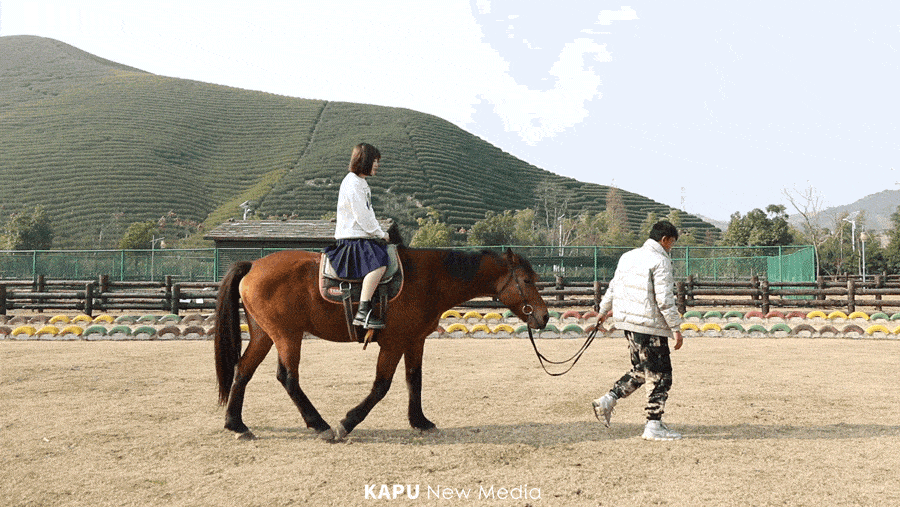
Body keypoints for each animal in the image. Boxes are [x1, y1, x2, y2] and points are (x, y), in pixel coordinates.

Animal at [214, 246, 548, 440]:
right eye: (527, 281)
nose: (543, 316)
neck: (426, 278)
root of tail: (254, 264)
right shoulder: (393, 343)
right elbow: (381, 386)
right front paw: (348, 422)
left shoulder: (414, 340)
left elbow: (414, 379)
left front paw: (420, 421)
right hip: (287, 336)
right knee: (287, 377)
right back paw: (320, 425)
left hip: (264, 335)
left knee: (243, 370)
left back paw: (237, 424)